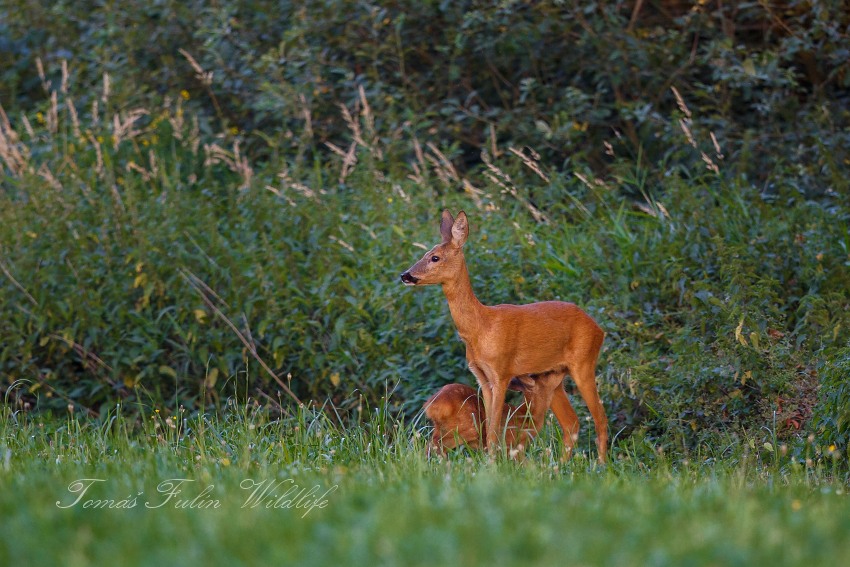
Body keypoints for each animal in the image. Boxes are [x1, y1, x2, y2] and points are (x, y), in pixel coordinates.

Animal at [401, 210, 608, 463]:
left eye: (435, 257)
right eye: (425, 254)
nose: (406, 275)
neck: (481, 328)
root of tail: (598, 328)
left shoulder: (502, 372)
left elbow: (493, 430)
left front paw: (493, 463)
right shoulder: (482, 376)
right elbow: (490, 426)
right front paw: (492, 461)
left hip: (584, 362)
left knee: (600, 418)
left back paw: (601, 465)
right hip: (554, 375)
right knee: (571, 423)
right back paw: (560, 465)